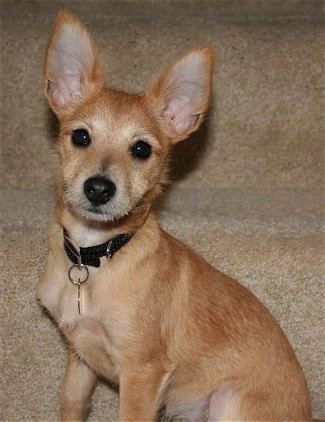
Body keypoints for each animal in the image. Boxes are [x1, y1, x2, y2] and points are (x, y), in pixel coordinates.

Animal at [38, 11, 312, 420]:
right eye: (81, 137)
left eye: (141, 149)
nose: (99, 188)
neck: (96, 257)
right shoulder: (80, 357)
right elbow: (71, 403)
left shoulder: (142, 372)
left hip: (227, 401)